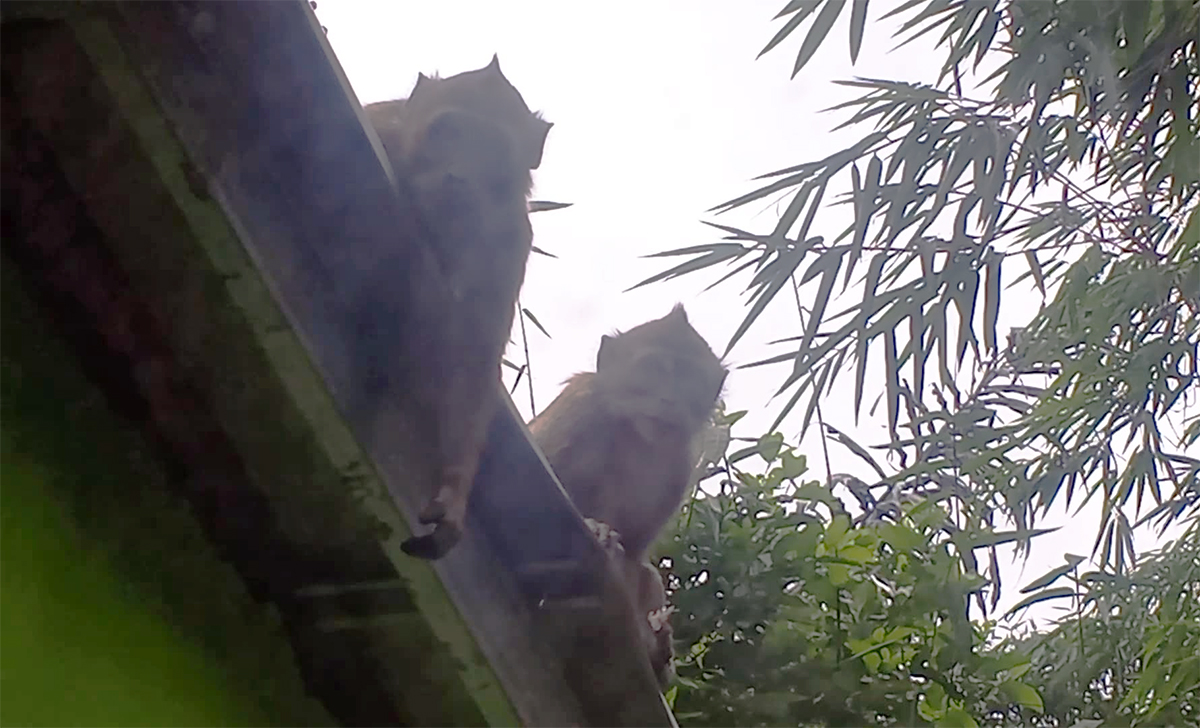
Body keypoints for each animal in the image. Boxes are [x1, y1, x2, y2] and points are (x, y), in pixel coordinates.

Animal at [364, 55, 552, 558]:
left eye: (493, 150)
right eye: (449, 132)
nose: (458, 178)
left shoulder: (512, 241)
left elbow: (472, 351)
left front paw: (454, 489)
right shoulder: (384, 129)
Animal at [532, 307, 720, 690]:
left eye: (691, 379)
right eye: (653, 368)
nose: (669, 400)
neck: (636, 433)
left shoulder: (681, 461)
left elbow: (635, 551)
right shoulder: (580, 407)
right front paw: (596, 529)